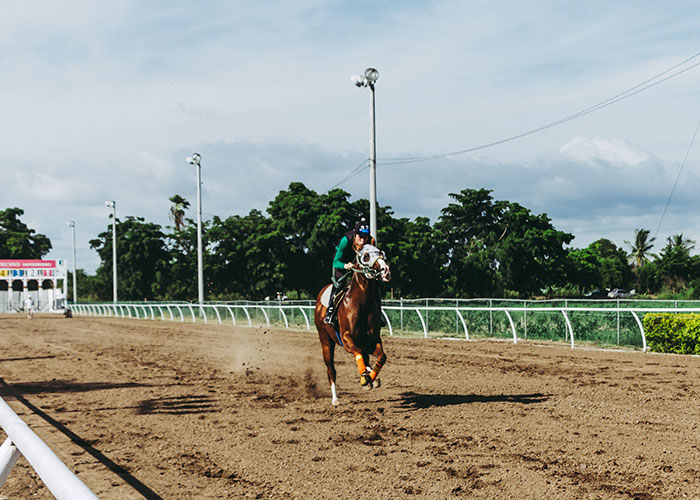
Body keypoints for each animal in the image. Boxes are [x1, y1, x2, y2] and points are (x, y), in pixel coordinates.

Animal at [314, 244, 391, 405]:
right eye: (365, 256)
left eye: (381, 253)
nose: (385, 270)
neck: (362, 303)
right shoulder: (346, 339)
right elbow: (358, 352)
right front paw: (365, 379)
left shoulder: (373, 340)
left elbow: (382, 356)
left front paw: (371, 377)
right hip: (325, 339)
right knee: (331, 369)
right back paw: (335, 399)